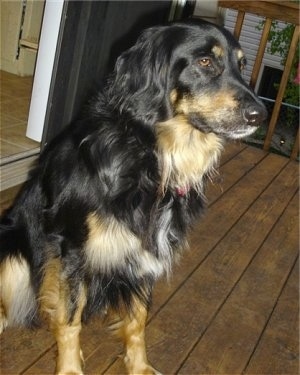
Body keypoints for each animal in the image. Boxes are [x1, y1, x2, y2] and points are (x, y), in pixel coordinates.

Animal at [0, 19, 268, 374]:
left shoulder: (147, 251)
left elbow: (138, 320)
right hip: (10, 251)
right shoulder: (73, 248)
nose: (259, 115)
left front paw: (139, 366)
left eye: (242, 65)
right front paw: (70, 369)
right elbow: (70, 320)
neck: (149, 160)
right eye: (205, 62)